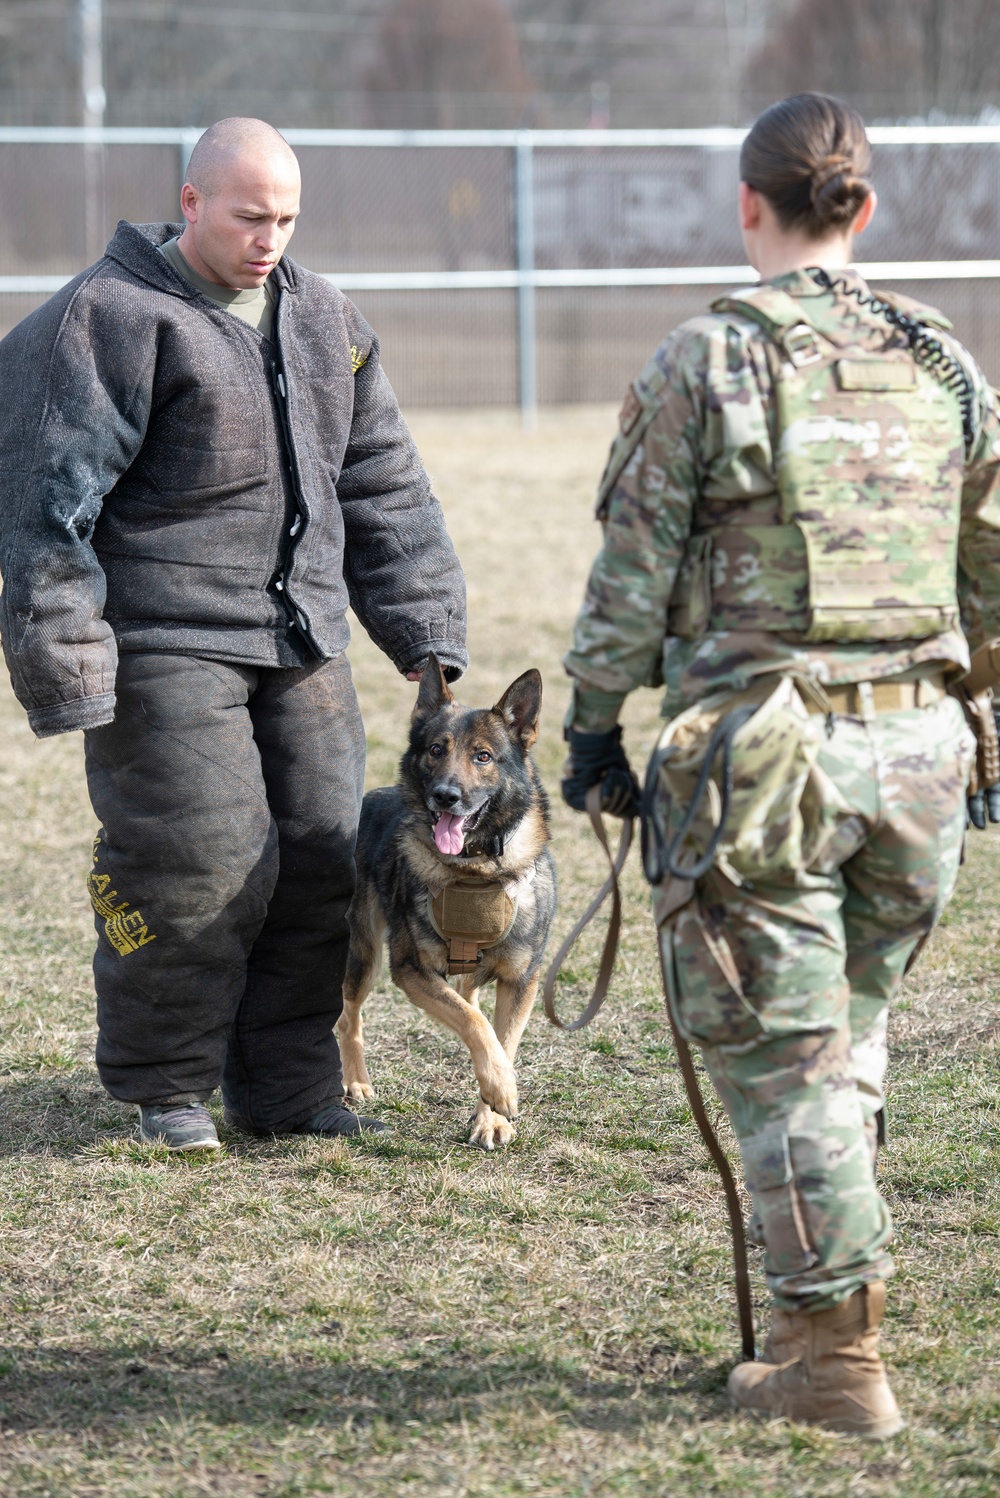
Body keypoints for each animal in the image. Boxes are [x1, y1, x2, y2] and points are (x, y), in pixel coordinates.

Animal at [335, 656, 553, 1144]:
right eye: (436, 749)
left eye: (483, 756)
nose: (445, 796)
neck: (475, 869)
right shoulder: (411, 970)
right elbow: (476, 1026)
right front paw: (501, 1087)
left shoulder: (520, 981)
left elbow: (498, 1037)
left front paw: (491, 1114)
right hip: (363, 955)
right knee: (348, 1017)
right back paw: (356, 1082)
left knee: (469, 1001)